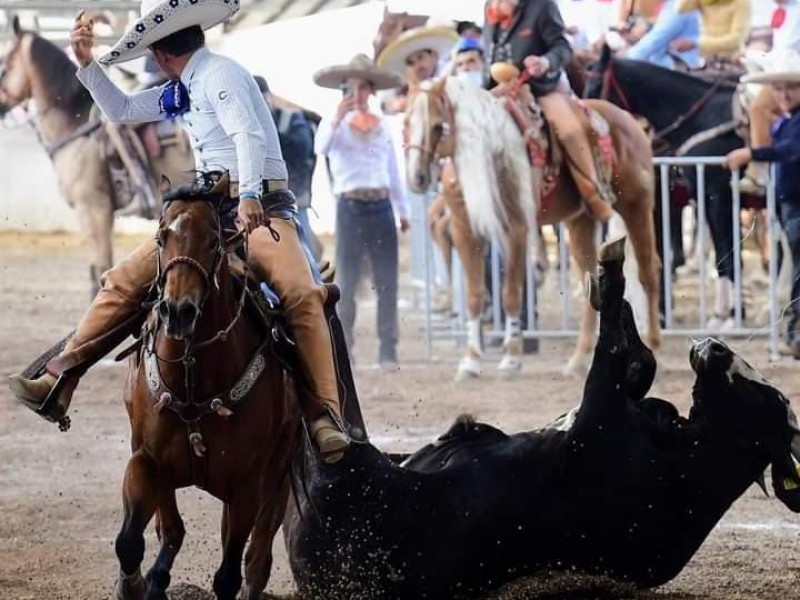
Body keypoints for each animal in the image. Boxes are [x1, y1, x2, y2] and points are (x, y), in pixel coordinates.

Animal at [114, 173, 298, 600]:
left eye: (213, 241)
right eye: (161, 237)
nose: (178, 311)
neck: (193, 386)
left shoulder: (247, 485)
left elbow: (228, 574)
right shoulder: (145, 460)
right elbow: (129, 542)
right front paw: (134, 585)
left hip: (277, 475)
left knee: (257, 559)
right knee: (172, 532)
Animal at [406, 75, 664, 376]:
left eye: (438, 125)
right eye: (406, 121)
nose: (416, 177)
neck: (492, 149)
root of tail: (630, 121)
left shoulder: (516, 229)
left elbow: (511, 294)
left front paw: (511, 358)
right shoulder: (464, 231)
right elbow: (474, 296)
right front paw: (470, 361)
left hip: (637, 207)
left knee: (649, 272)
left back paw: (654, 346)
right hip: (581, 221)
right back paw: (580, 359)